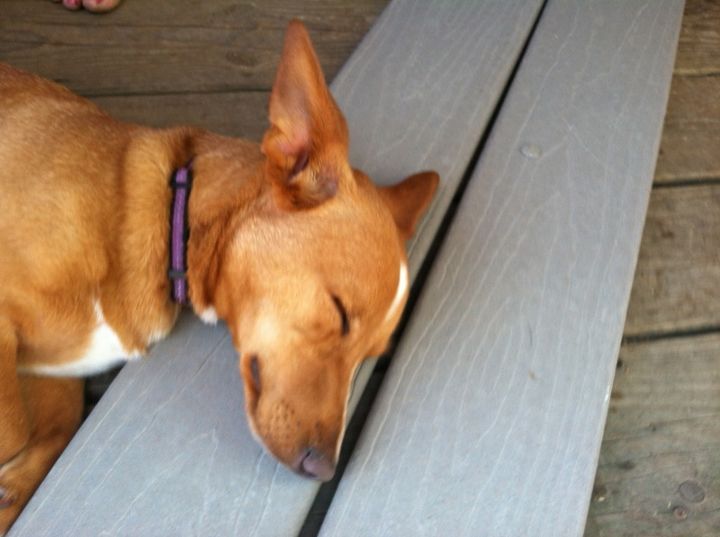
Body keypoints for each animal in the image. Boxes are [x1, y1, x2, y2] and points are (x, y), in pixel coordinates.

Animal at [0, 18, 438, 528]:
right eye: (340, 313)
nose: (325, 470)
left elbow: (53, 425)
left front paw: (12, 490)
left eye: (371, 355)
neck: (169, 216)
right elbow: (14, 428)